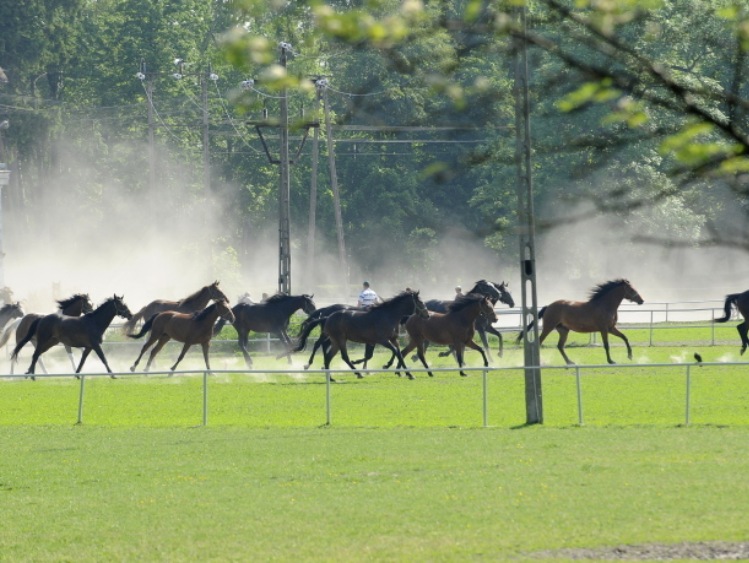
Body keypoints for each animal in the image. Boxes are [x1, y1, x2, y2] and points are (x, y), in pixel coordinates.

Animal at [516, 278, 644, 366]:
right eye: (632, 289)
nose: (641, 301)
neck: (604, 305)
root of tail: (548, 306)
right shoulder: (604, 329)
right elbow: (606, 345)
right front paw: (611, 361)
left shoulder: (611, 328)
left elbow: (625, 337)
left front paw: (630, 355)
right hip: (548, 327)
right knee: (540, 342)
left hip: (563, 330)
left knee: (560, 346)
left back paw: (570, 362)